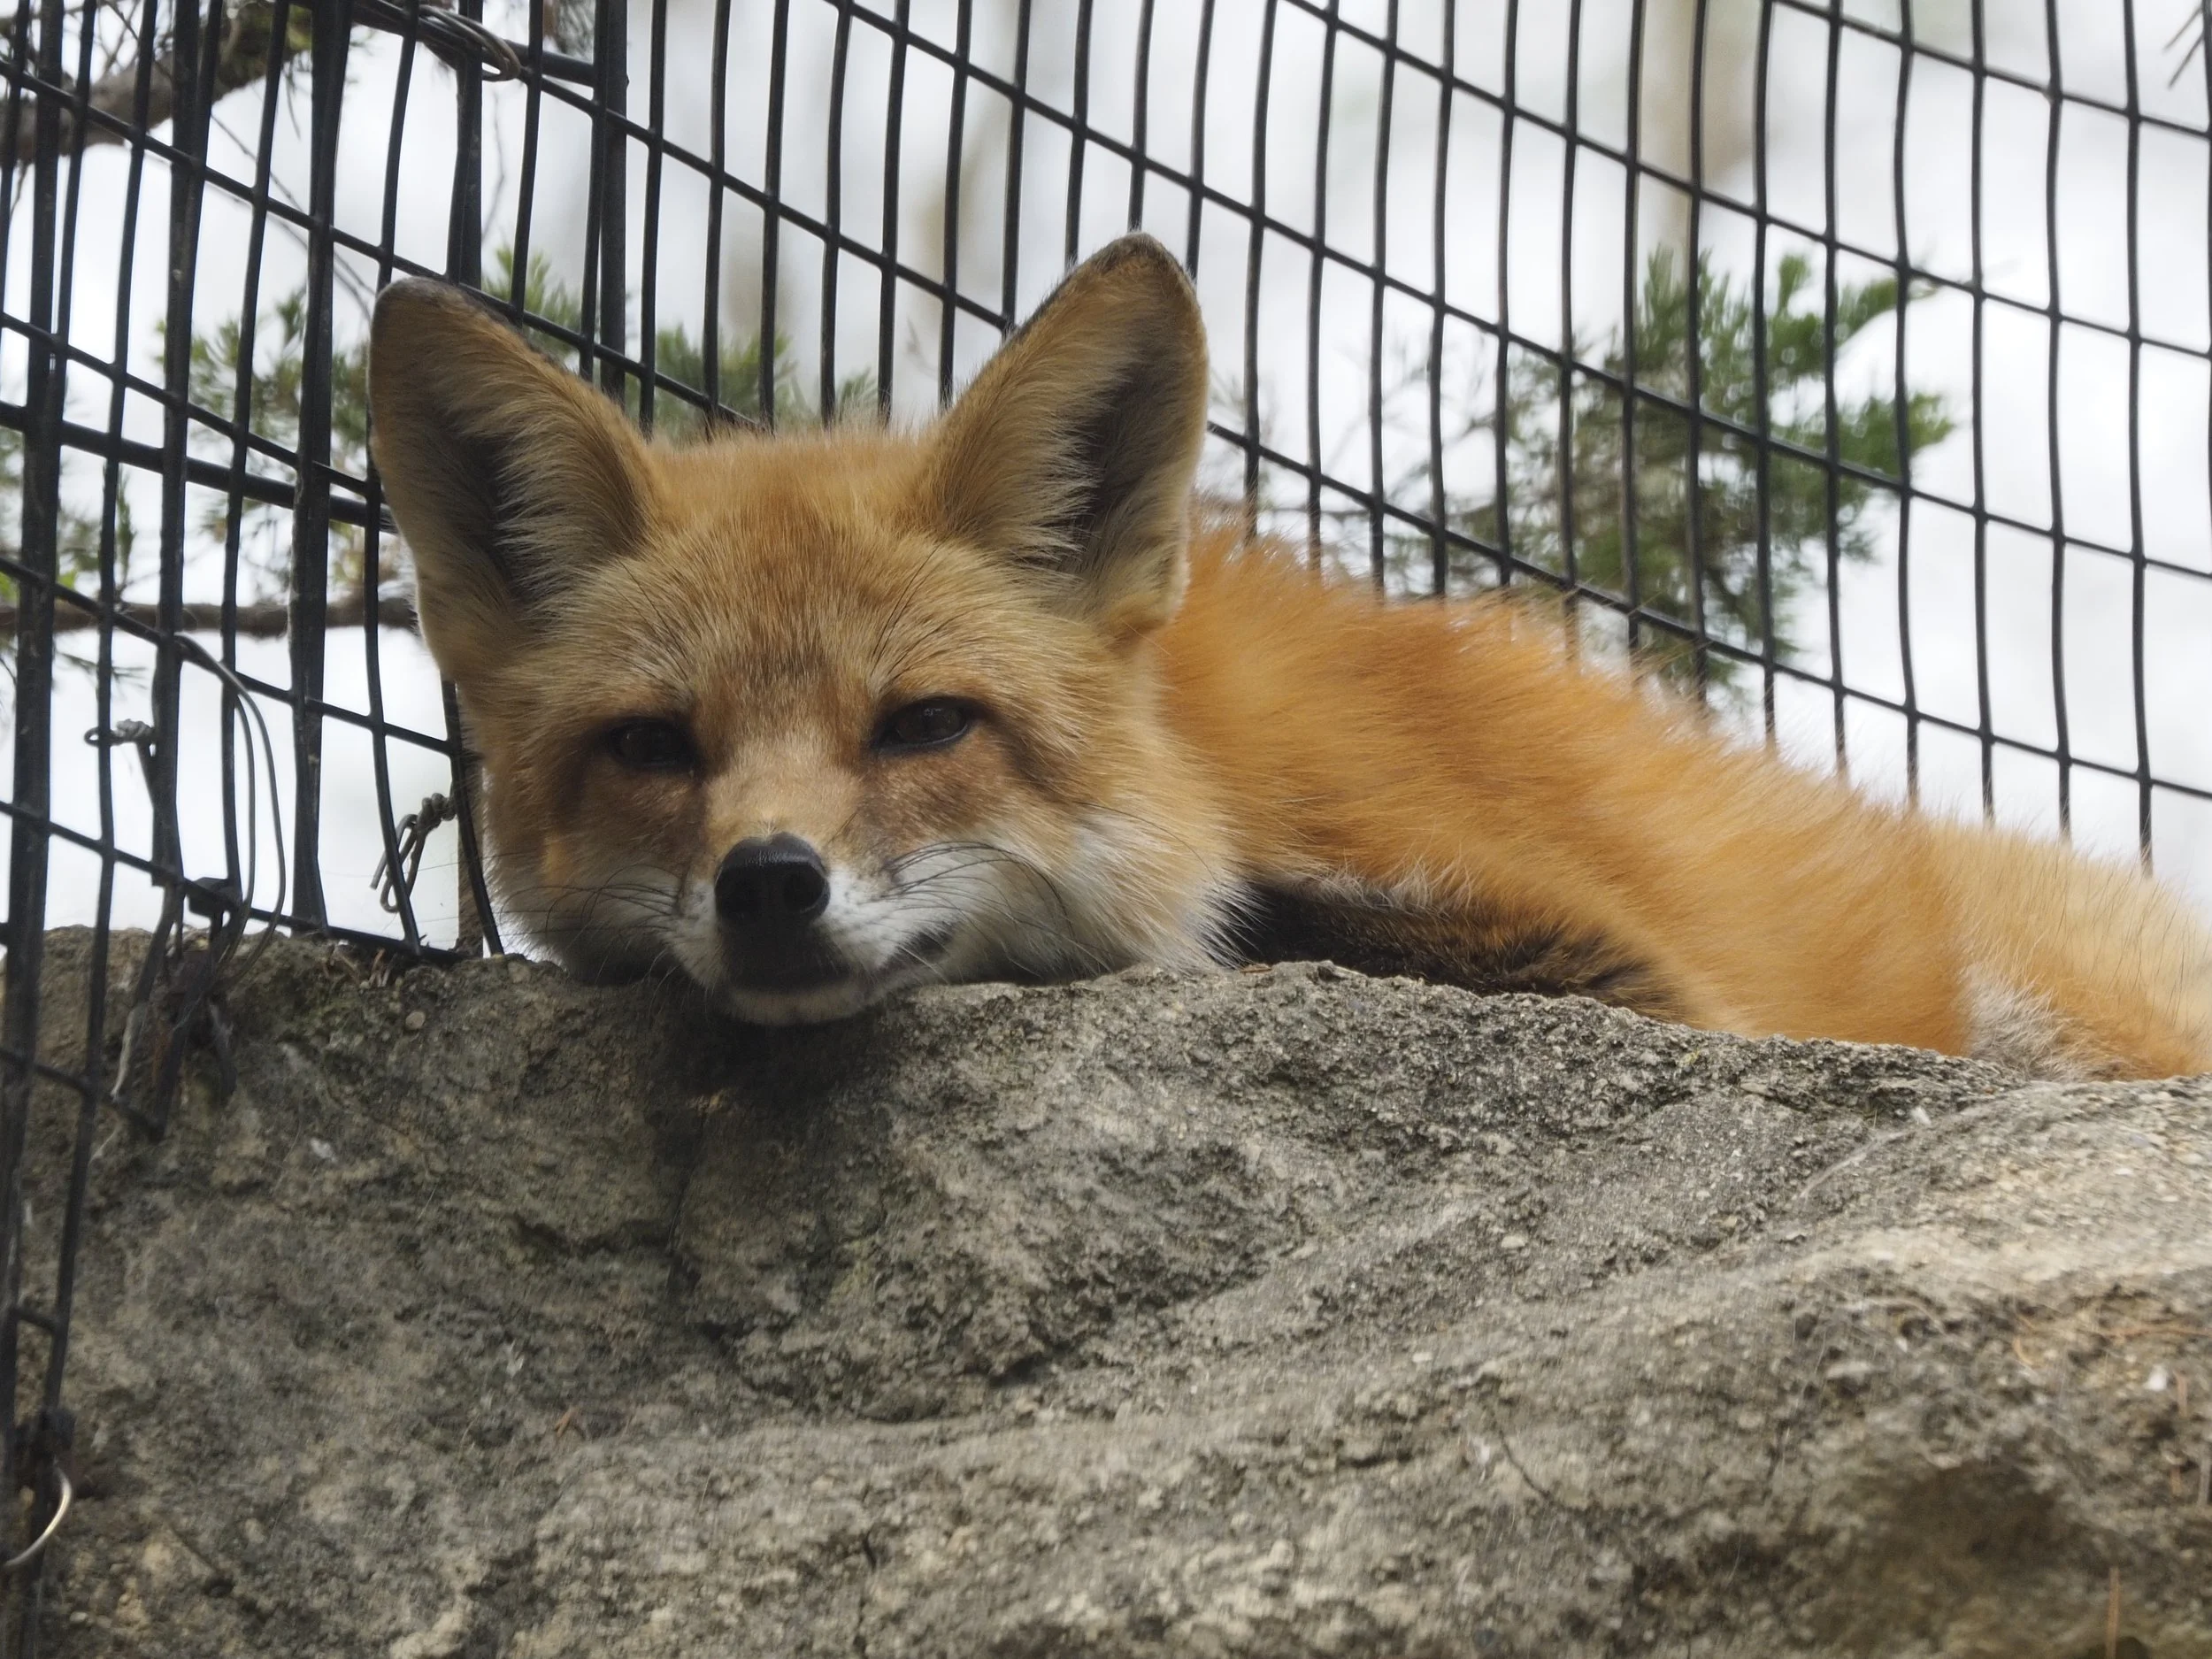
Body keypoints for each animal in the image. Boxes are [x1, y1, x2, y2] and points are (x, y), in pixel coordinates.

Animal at [366, 235, 2212, 1080]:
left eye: (925, 725)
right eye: (654, 747)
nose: (769, 883)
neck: (1200, 759)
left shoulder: (1644, 983)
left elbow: (1256, 926)